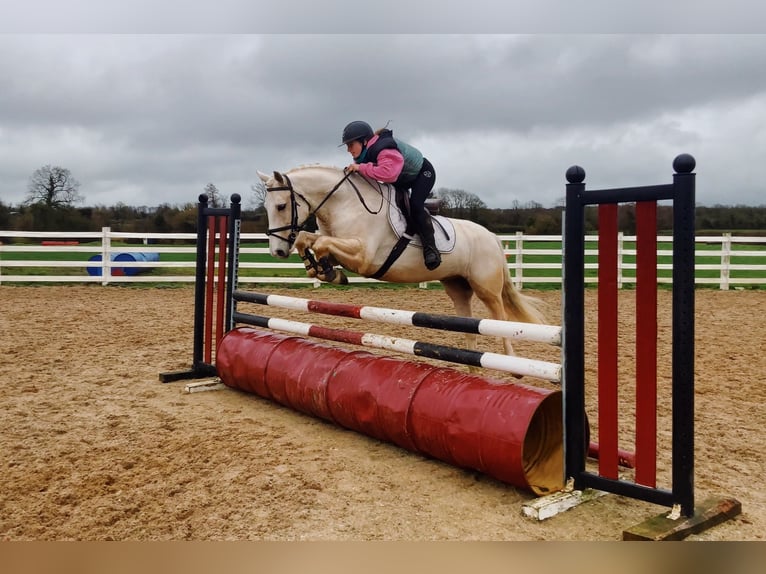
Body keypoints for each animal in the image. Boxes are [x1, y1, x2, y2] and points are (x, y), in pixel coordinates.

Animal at [256, 164, 546, 358]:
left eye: (281, 206)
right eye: (267, 207)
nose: (277, 252)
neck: (345, 204)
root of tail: (492, 236)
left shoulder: (364, 257)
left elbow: (319, 243)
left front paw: (327, 271)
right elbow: (308, 239)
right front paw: (322, 270)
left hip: (486, 287)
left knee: (499, 318)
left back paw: (511, 363)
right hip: (457, 287)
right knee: (469, 325)